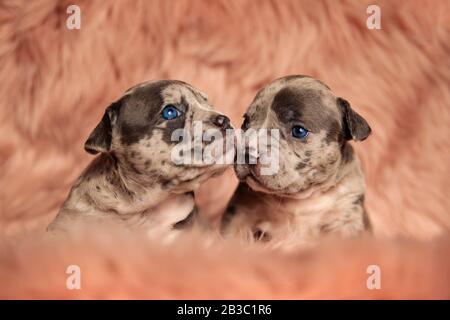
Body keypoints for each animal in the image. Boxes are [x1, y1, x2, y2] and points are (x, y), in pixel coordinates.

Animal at [221, 76, 372, 249]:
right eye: (246, 123)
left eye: (299, 131)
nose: (247, 153)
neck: (300, 199)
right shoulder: (240, 212)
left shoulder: (347, 218)